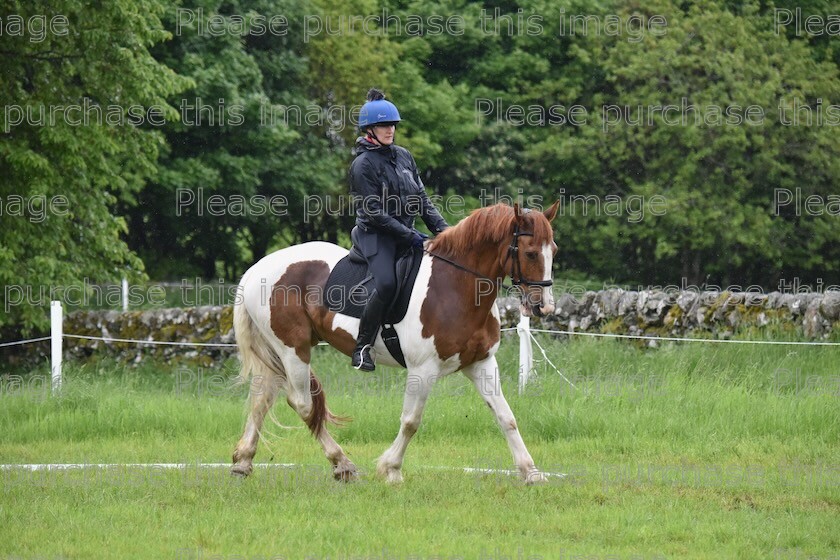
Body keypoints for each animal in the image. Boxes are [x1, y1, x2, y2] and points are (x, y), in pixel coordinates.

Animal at [231, 199, 556, 484]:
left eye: (553, 250)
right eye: (530, 253)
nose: (544, 307)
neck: (454, 287)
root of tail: (256, 270)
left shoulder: (481, 363)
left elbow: (506, 417)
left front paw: (531, 472)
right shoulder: (423, 369)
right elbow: (411, 420)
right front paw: (391, 470)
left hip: (282, 352)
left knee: (263, 397)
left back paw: (243, 462)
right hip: (292, 349)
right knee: (302, 404)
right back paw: (342, 464)